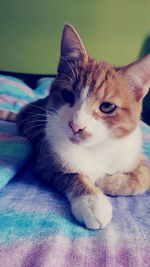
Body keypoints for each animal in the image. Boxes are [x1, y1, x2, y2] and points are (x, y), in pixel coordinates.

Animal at [17, 24, 150, 230]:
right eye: (67, 95)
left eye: (107, 107)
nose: (76, 126)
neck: (96, 148)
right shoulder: (46, 162)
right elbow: (73, 175)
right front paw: (93, 202)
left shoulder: (136, 156)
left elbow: (143, 178)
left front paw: (107, 181)